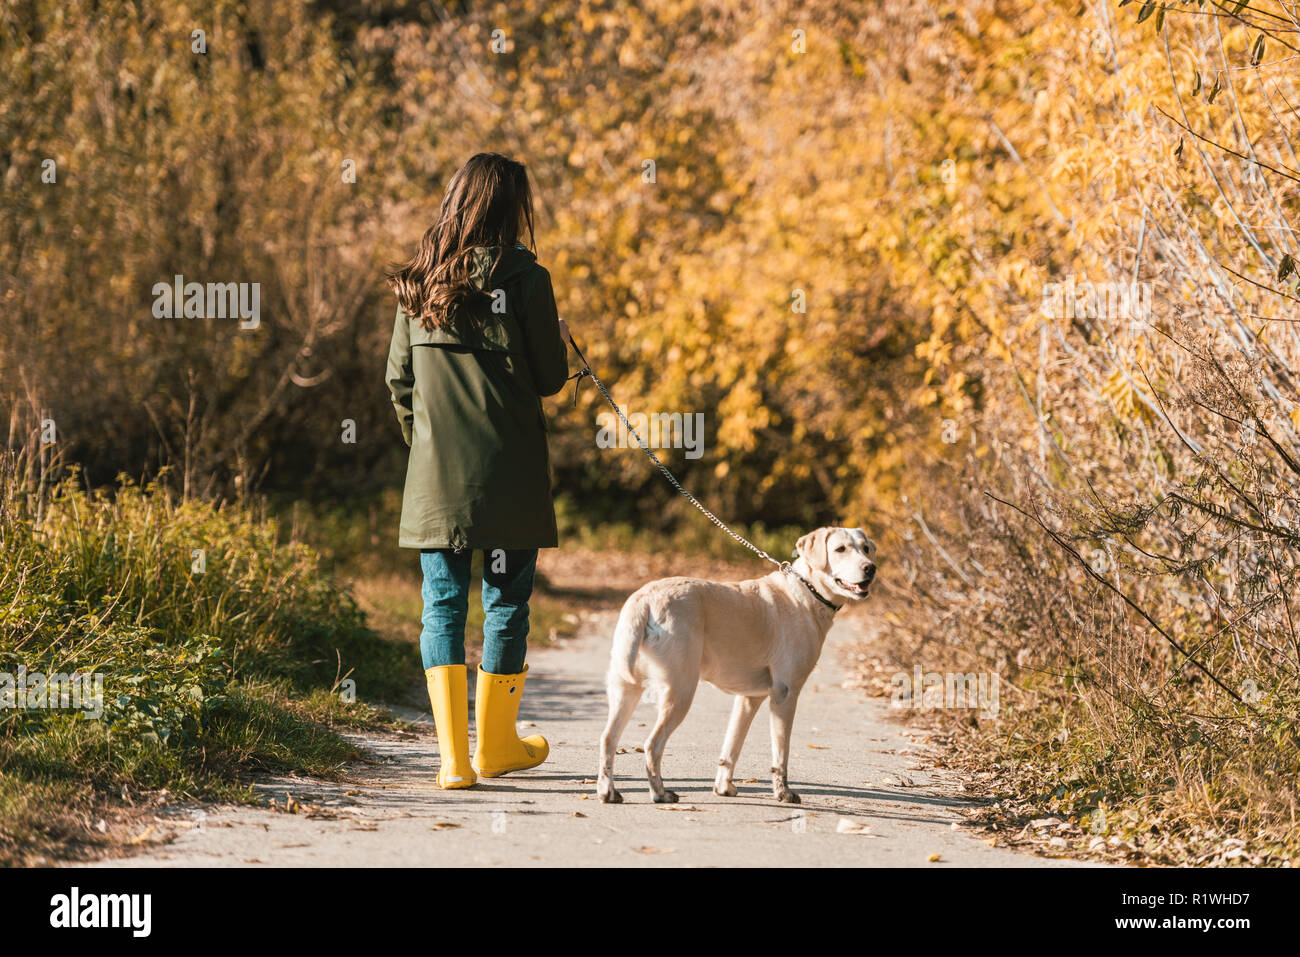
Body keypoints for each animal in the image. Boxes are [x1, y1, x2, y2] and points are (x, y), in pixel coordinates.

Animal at [595, 527, 878, 806]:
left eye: (865, 548)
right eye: (840, 549)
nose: (870, 568)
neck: (807, 591)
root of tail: (644, 599)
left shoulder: (748, 698)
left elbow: (732, 745)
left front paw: (724, 787)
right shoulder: (785, 695)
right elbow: (781, 753)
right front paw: (783, 793)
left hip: (625, 689)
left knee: (608, 738)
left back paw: (608, 792)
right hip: (680, 691)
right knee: (652, 744)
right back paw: (659, 793)